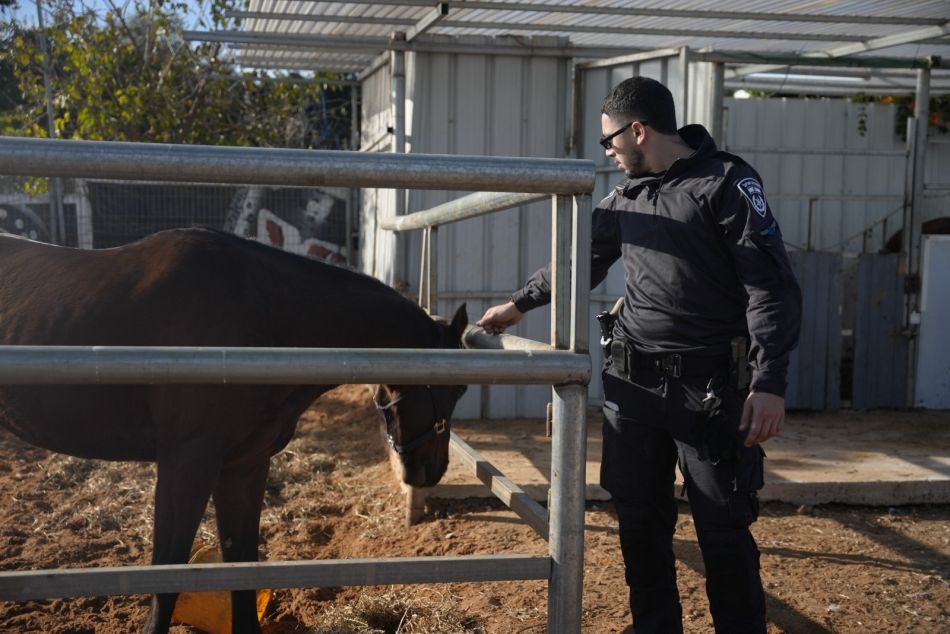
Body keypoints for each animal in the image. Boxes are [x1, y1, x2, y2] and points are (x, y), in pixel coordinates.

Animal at [0, 227, 468, 632]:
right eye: (458, 386)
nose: (433, 469)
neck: (262, 317)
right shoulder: (187, 463)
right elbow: (168, 572)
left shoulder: (245, 465)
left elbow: (241, 562)